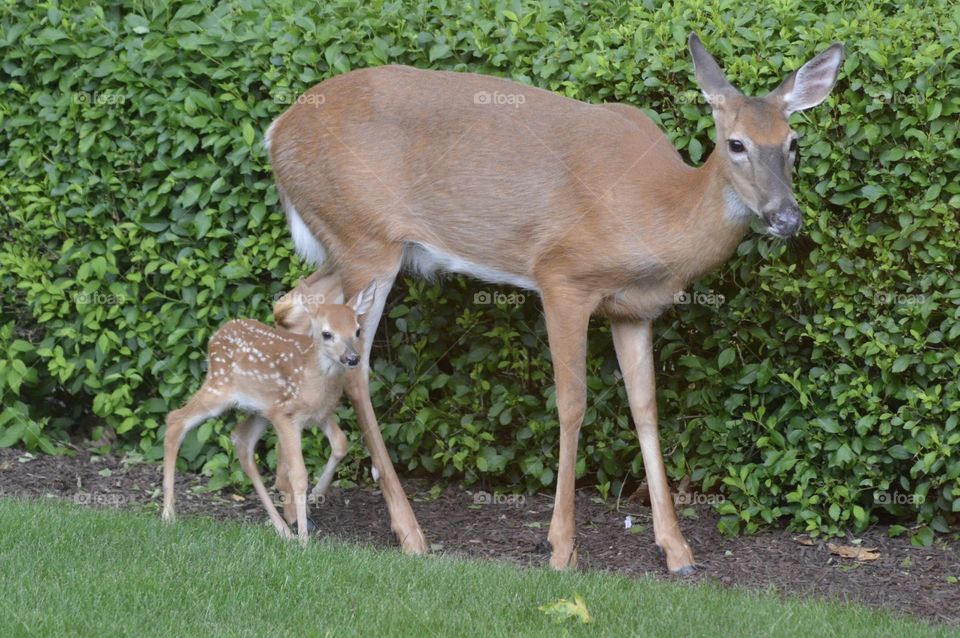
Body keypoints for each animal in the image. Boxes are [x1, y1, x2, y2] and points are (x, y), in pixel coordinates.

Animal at [161, 276, 376, 544]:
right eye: (327, 334)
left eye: (357, 330)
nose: (352, 358)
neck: (313, 379)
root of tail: (215, 336)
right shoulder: (285, 415)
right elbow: (298, 475)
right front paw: (304, 538)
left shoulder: (320, 413)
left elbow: (340, 444)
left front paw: (315, 496)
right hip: (219, 388)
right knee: (176, 419)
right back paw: (168, 514)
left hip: (259, 410)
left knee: (240, 439)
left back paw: (282, 529)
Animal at [264, 33, 844, 572]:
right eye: (736, 144)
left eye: (793, 143)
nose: (786, 217)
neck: (656, 210)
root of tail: (275, 132)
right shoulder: (563, 277)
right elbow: (572, 404)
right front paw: (561, 547)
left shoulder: (633, 311)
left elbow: (646, 408)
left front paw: (677, 549)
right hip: (366, 239)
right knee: (355, 367)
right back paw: (408, 533)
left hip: (348, 246)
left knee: (292, 304)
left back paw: (291, 501)